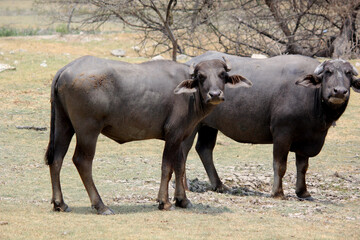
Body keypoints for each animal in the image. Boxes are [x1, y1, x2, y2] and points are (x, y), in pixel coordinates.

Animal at [45, 56, 252, 216]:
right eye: (201, 76)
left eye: (222, 75)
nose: (215, 94)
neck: (189, 95)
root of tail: (67, 69)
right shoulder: (173, 135)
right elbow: (167, 168)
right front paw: (165, 202)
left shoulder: (182, 137)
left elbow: (180, 166)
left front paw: (182, 200)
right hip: (88, 131)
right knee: (82, 162)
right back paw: (101, 206)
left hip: (64, 125)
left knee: (56, 159)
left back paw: (60, 203)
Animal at [184, 51, 358, 200]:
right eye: (328, 72)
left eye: (348, 73)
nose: (339, 92)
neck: (312, 96)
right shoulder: (282, 134)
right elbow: (280, 165)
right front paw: (278, 192)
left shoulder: (306, 138)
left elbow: (303, 166)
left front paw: (303, 192)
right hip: (193, 126)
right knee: (184, 150)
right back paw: (186, 186)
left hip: (209, 126)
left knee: (204, 149)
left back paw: (219, 185)